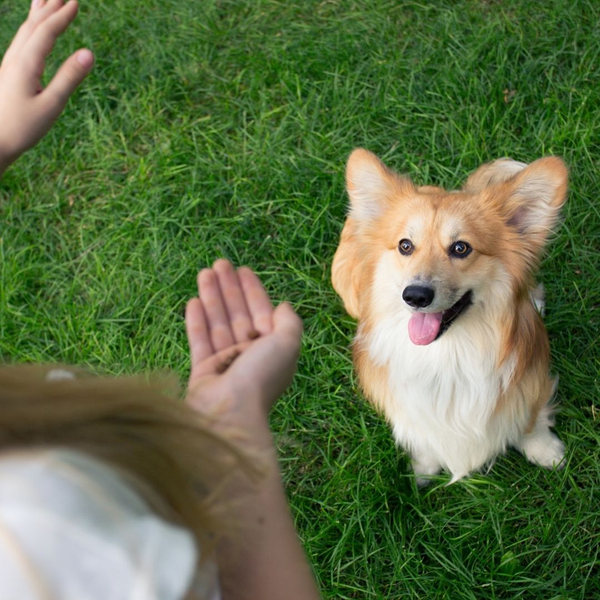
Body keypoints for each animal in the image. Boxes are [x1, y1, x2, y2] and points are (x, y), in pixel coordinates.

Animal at [332, 150, 568, 482]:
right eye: (405, 245)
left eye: (460, 248)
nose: (415, 296)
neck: (449, 354)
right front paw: (423, 467)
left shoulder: (529, 381)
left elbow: (531, 420)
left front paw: (546, 452)